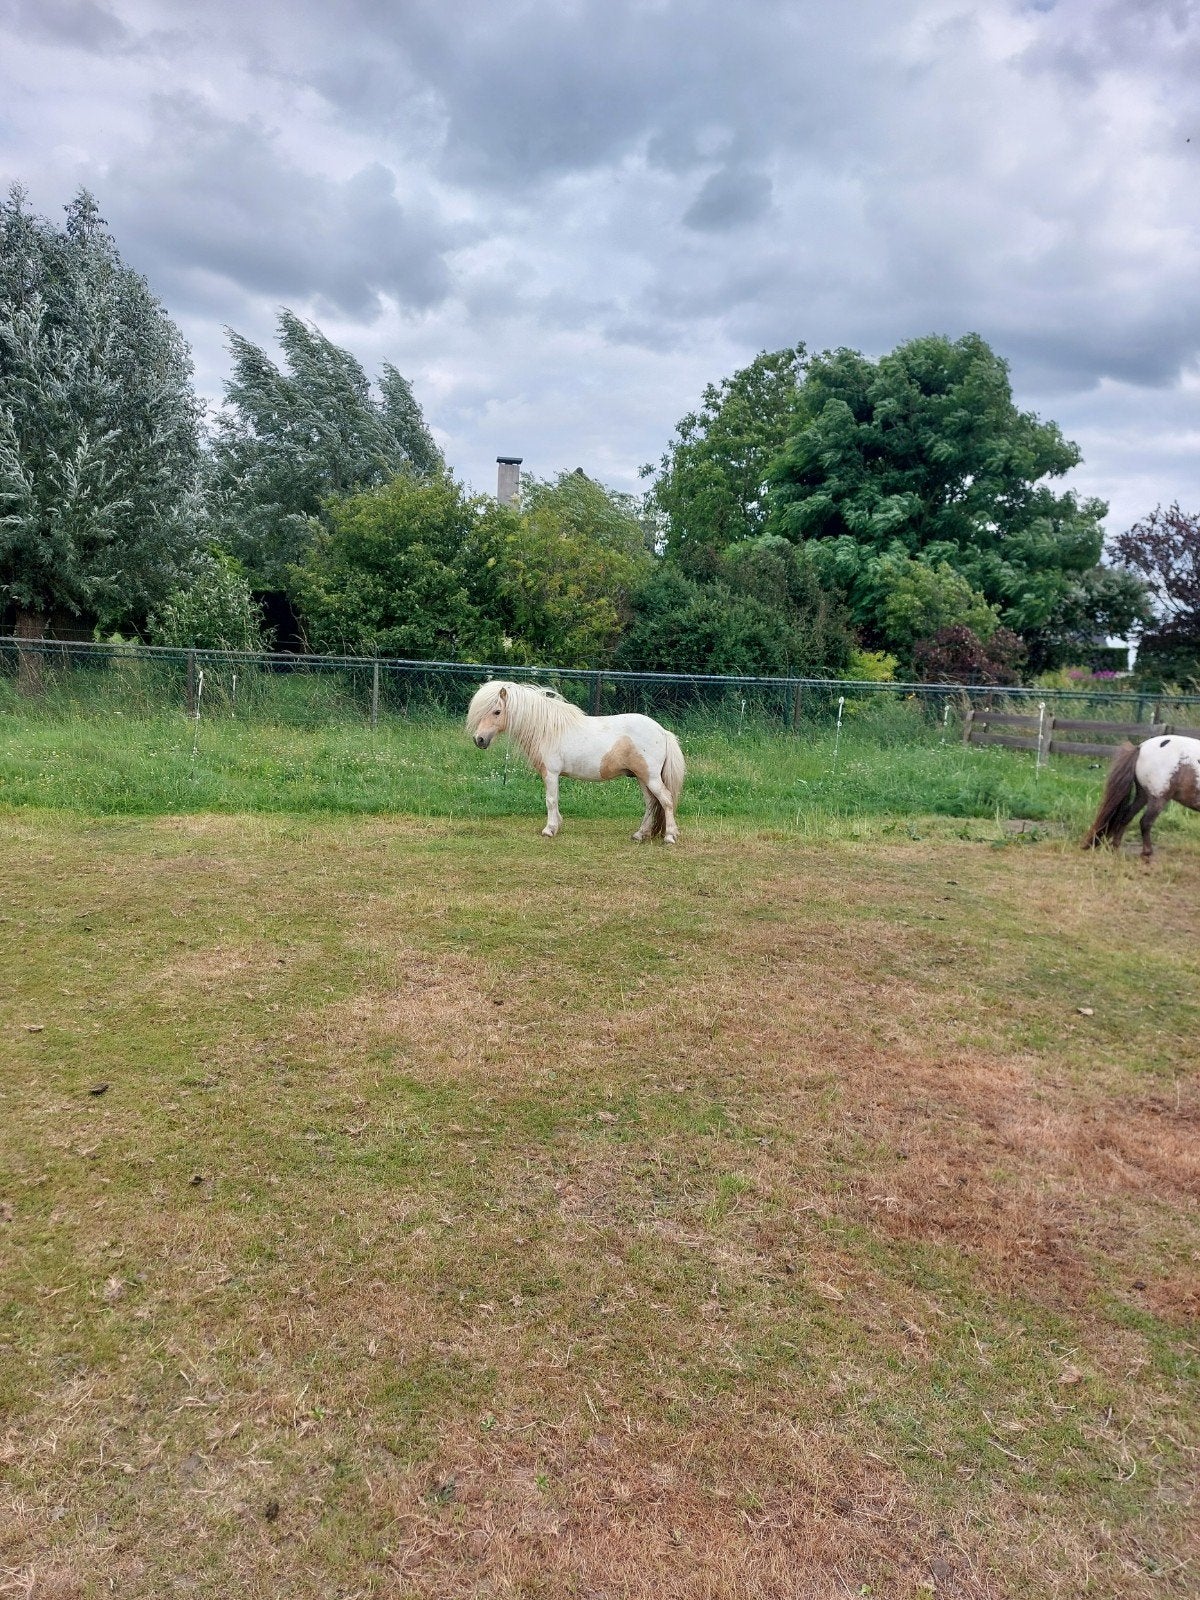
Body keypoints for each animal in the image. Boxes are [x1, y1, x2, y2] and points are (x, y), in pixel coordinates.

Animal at [466, 679, 686, 843]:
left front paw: (549, 829)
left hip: (650, 777)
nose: (479, 740)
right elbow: (555, 800)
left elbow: (550, 800)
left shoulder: (551, 774)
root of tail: (662, 731)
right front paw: (556, 826)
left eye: (497, 712)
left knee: (665, 800)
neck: (547, 729)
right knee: (651, 803)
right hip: (642, 778)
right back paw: (640, 834)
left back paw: (669, 836)